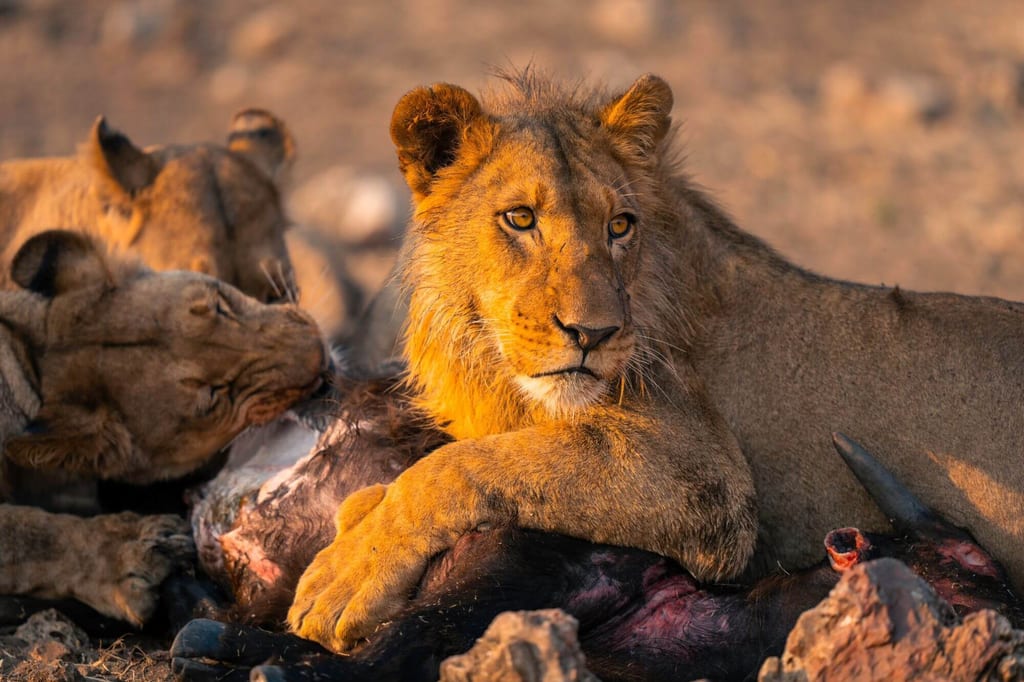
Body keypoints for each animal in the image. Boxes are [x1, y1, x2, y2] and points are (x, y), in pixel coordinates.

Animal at [0, 229, 327, 626]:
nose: (320, 354)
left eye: (221, 306)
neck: (30, 363)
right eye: (213, 396)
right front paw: (133, 551)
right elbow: (26, 533)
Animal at [287, 69, 1024, 653]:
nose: (593, 333)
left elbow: (451, 471)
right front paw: (357, 518)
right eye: (520, 218)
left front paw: (344, 576)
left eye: (619, 226)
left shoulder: (709, 484)